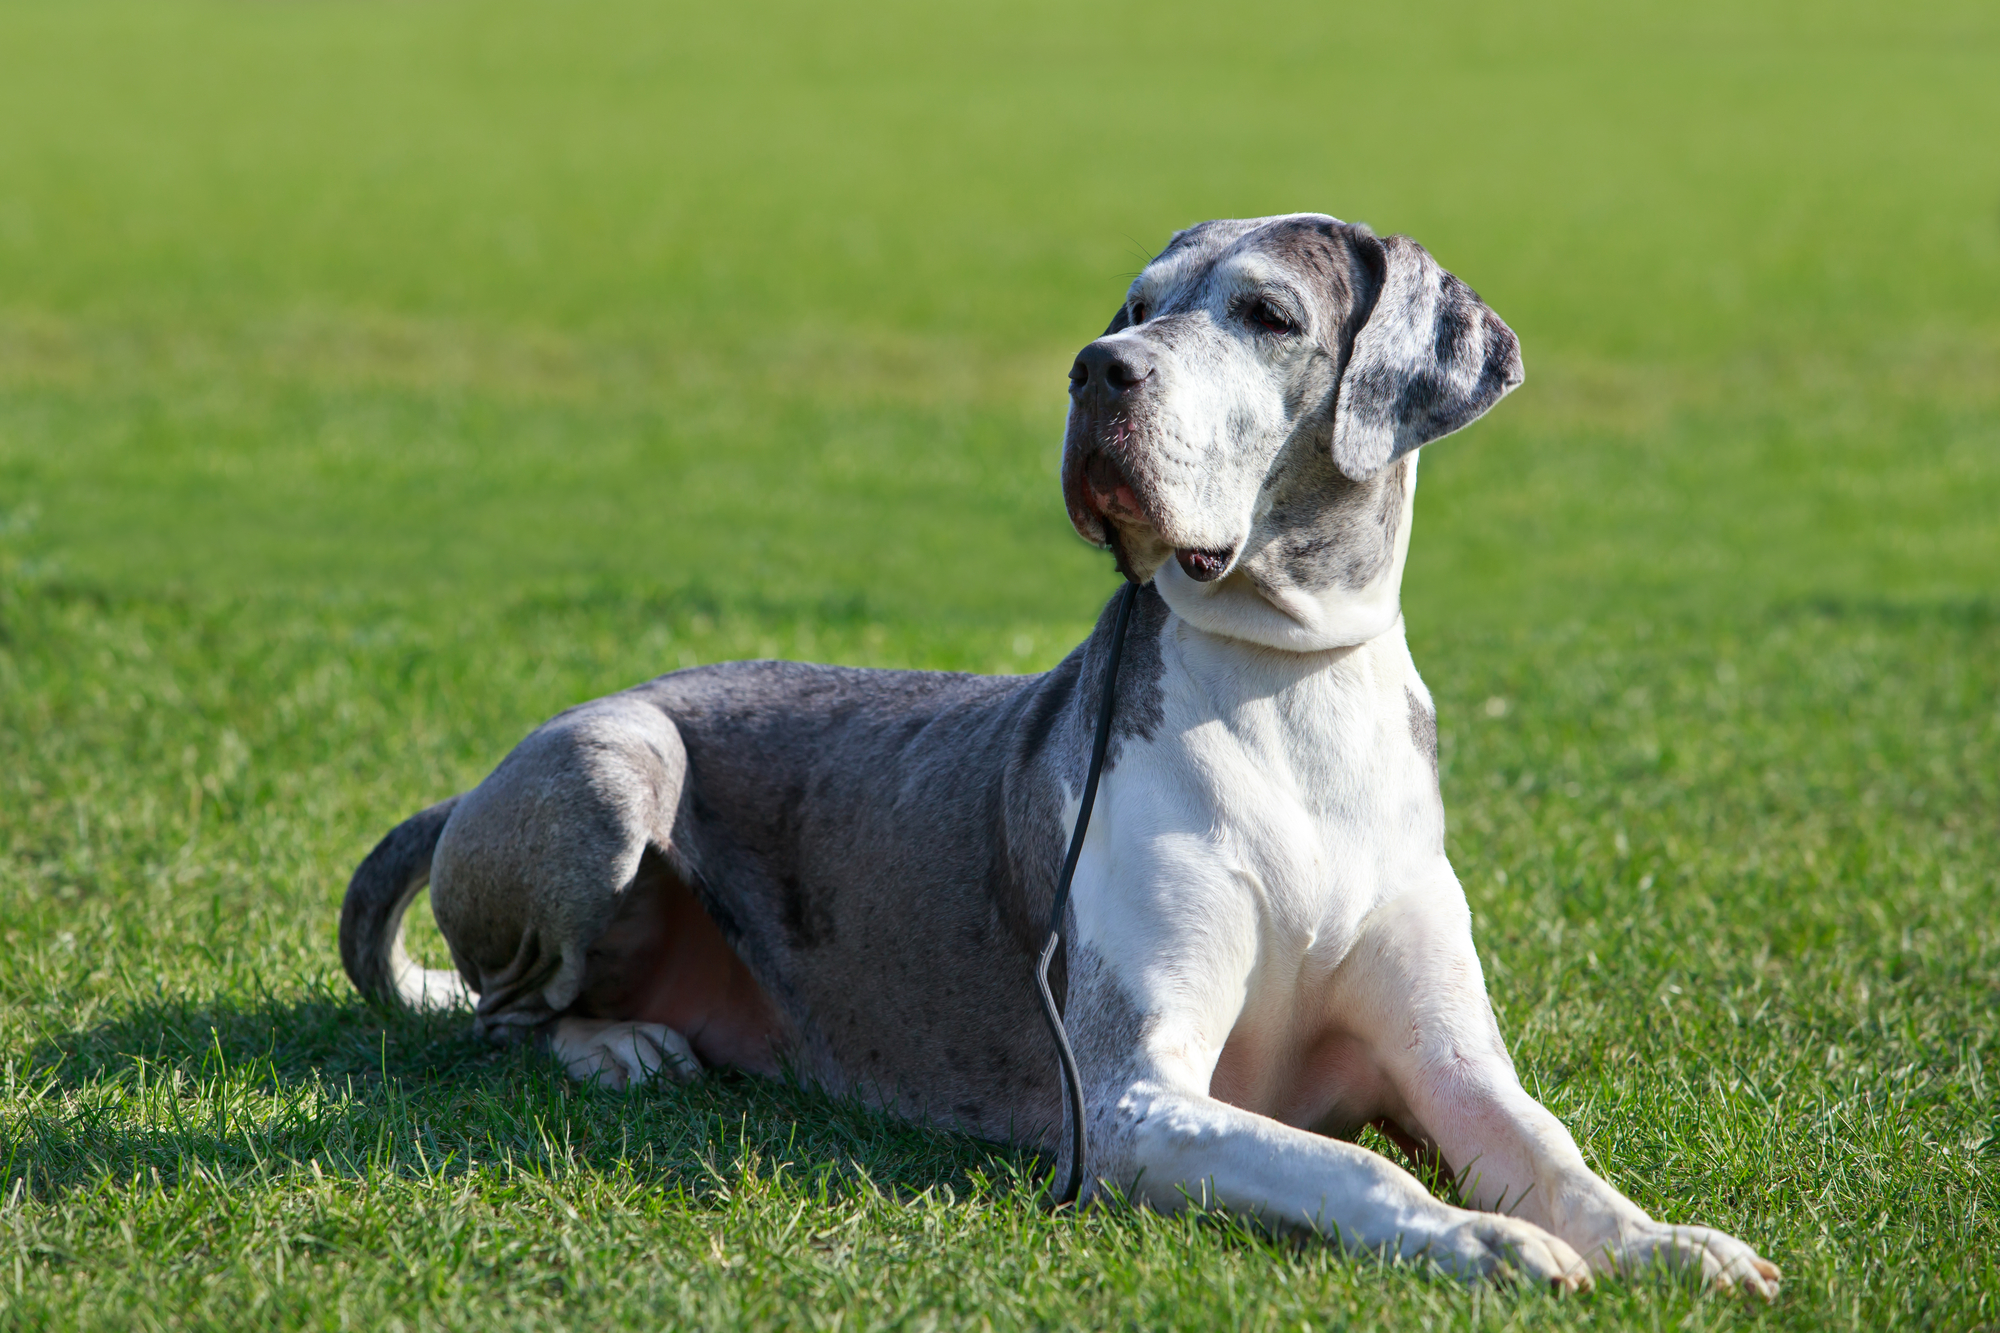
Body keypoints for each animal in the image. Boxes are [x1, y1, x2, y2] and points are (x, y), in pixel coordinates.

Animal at [340, 215, 1784, 1288]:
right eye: (1137, 302)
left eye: (1267, 316)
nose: (1099, 367)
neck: (1285, 684)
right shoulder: (1137, 1100)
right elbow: (1354, 1163)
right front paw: (1482, 1240)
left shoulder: (1447, 1065)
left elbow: (1553, 1148)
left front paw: (1668, 1239)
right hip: (614, 760)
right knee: (508, 1015)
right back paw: (617, 1047)